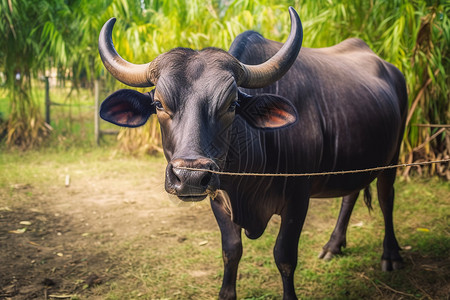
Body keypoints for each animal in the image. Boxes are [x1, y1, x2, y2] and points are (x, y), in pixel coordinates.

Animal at [98, 7, 408, 300]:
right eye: (159, 104)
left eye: (232, 104)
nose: (190, 176)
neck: (247, 179)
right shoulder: (219, 198)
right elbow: (231, 251)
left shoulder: (298, 199)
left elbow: (284, 257)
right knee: (350, 195)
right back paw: (333, 245)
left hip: (393, 156)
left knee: (386, 198)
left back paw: (391, 255)